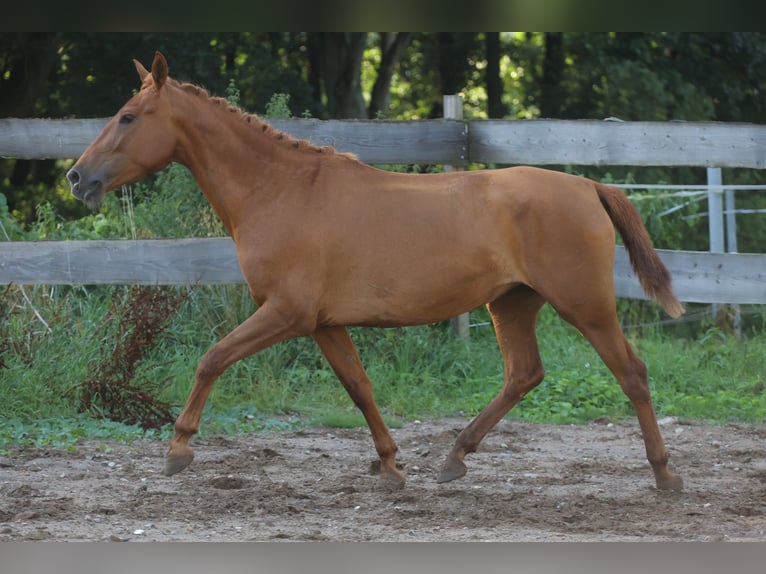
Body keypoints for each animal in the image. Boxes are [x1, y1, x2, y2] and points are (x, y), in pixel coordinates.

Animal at [69, 53, 688, 490]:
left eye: (128, 116)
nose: (77, 178)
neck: (282, 190)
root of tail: (588, 186)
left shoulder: (286, 314)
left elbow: (212, 359)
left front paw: (178, 450)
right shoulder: (323, 323)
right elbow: (360, 387)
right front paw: (391, 466)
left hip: (584, 305)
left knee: (631, 374)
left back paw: (665, 475)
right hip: (512, 302)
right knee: (524, 375)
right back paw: (453, 458)